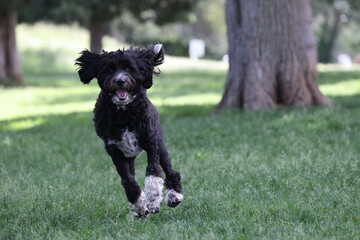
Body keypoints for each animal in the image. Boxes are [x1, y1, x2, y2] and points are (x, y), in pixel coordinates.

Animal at [75, 44, 183, 217]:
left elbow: (153, 172)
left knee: (171, 171)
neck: (124, 112)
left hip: (160, 146)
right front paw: (139, 205)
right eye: (109, 69)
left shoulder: (151, 144)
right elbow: (128, 181)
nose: (120, 81)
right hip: (129, 156)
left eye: (128, 68)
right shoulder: (114, 150)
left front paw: (153, 200)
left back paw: (174, 196)